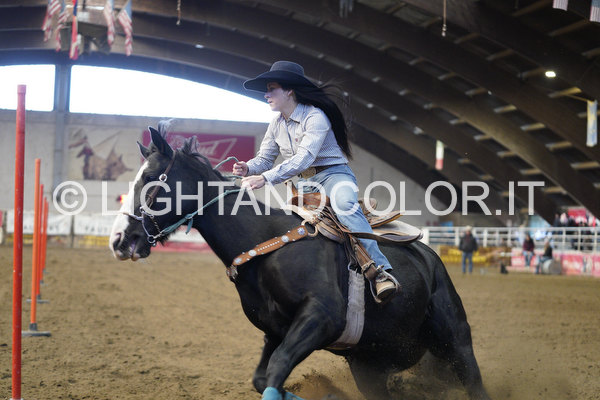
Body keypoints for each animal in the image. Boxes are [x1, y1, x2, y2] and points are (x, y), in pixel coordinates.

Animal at [109, 124, 491, 400]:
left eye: (151, 179)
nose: (119, 240)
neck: (263, 246)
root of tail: (429, 258)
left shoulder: (321, 317)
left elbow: (277, 369)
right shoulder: (276, 331)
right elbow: (263, 378)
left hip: (455, 340)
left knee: (473, 381)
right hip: (369, 365)